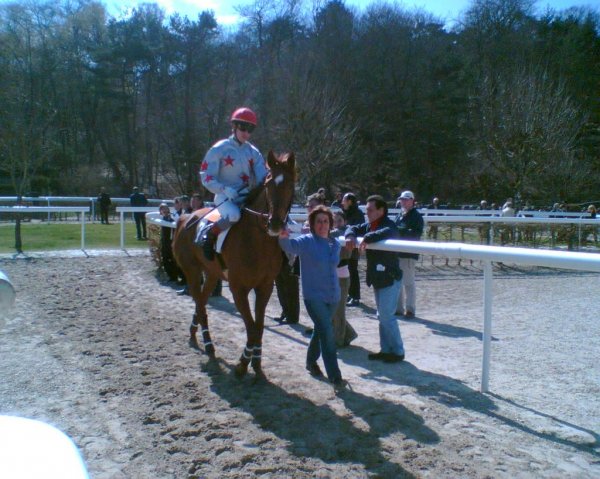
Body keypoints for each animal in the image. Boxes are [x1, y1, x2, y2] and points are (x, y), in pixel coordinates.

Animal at [171, 152, 296, 380]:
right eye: (268, 184)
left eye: (290, 185)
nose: (275, 224)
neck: (257, 240)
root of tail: (186, 217)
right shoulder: (239, 289)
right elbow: (252, 327)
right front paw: (242, 364)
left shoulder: (265, 287)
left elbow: (259, 326)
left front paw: (256, 364)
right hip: (192, 271)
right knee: (200, 303)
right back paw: (208, 344)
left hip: (212, 274)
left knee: (201, 301)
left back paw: (195, 331)